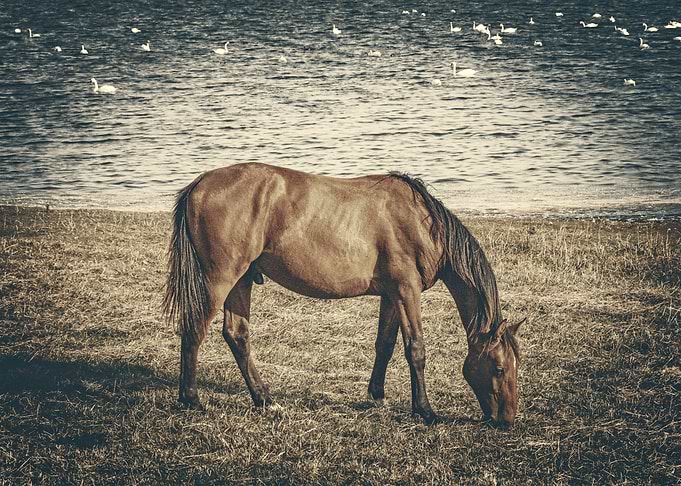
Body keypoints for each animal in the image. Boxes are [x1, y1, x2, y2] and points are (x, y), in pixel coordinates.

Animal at [163, 163, 523, 427]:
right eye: (499, 368)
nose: (507, 420)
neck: (422, 222)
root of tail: (200, 184)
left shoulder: (391, 295)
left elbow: (385, 345)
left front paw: (377, 394)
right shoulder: (407, 291)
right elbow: (415, 349)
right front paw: (425, 410)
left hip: (242, 281)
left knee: (236, 335)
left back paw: (265, 399)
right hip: (220, 279)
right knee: (194, 330)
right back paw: (192, 398)